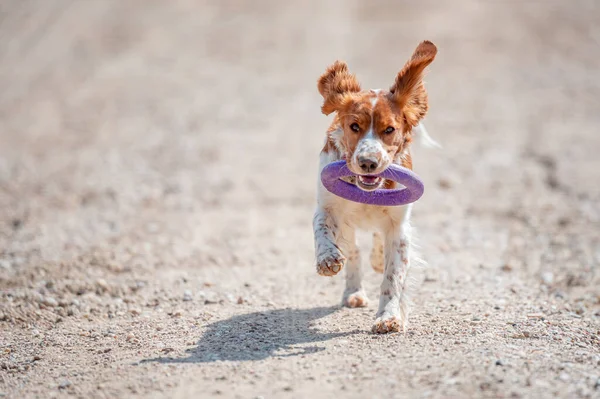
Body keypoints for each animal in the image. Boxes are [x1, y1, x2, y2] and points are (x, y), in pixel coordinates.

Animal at [314, 40, 436, 334]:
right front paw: (327, 259)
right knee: (354, 251)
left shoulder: (399, 226)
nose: (368, 162)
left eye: (389, 129)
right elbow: (322, 231)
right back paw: (353, 293)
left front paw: (388, 317)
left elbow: (393, 276)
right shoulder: (327, 207)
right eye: (354, 126)